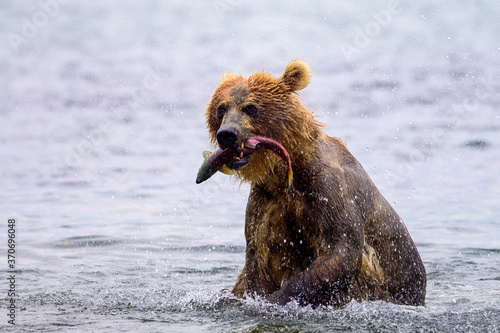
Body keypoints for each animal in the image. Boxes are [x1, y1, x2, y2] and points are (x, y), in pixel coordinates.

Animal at [195, 59, 426, 306]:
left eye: (251, 107)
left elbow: (341, 249)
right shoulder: (266, 200)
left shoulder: (328, 188)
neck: (289, 171)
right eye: (221, 108)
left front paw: (275, 299)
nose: (227, 134)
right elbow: (259, 259)